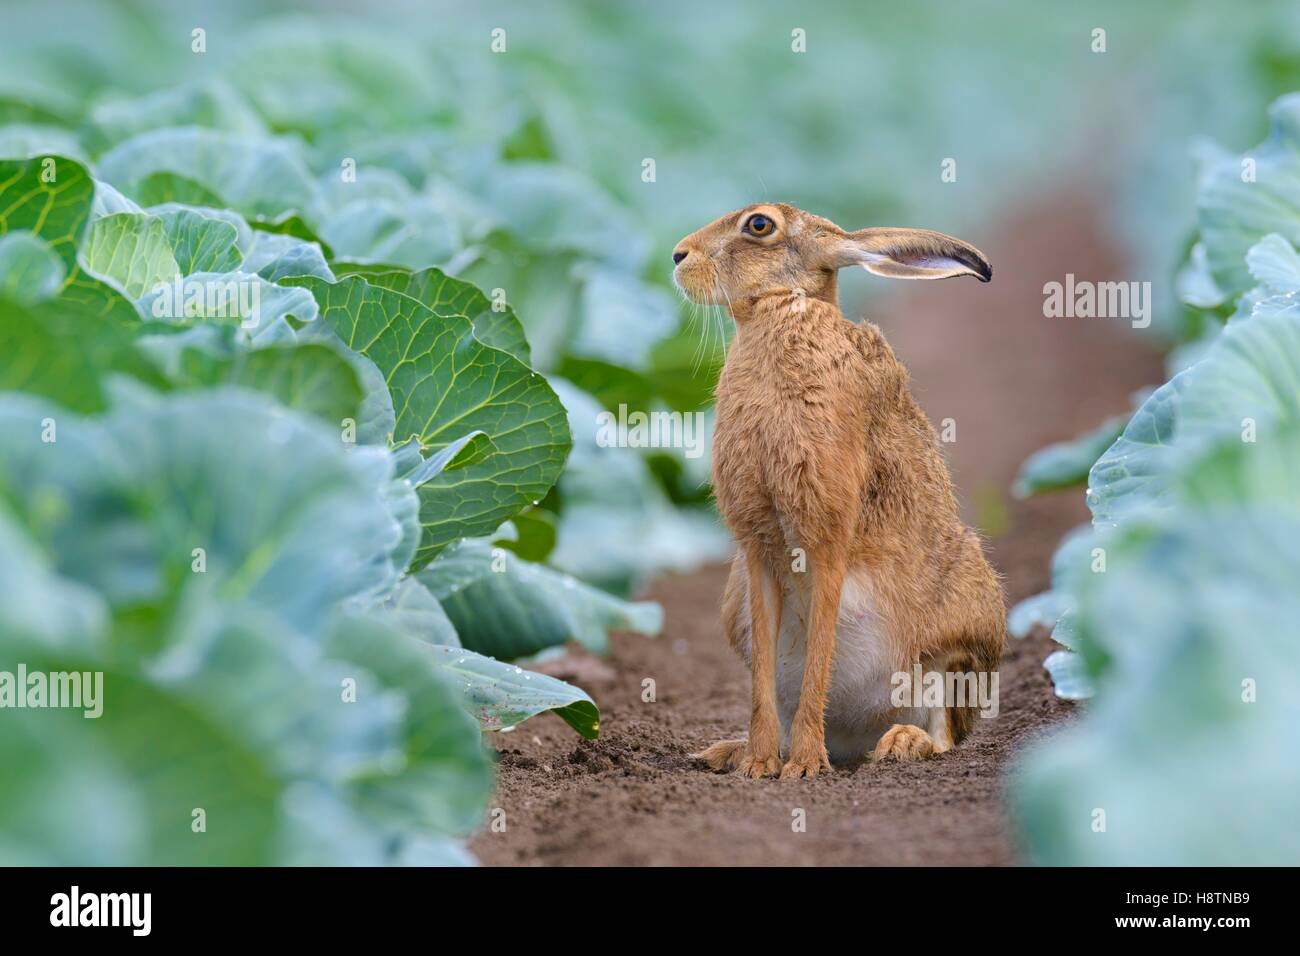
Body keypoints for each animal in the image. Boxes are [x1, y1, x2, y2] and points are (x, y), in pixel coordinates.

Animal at [672, 203, 1005, 779]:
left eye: (759, 225)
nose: (678, 256)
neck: (780, 312)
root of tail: (856, 735)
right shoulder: (758, 548)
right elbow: (763, 679)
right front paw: (760, 765)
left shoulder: (826, 536)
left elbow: (819, 654)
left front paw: (805, 768)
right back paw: (730, 752)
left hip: (959, 646)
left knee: (946, 732)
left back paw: (900, 743)